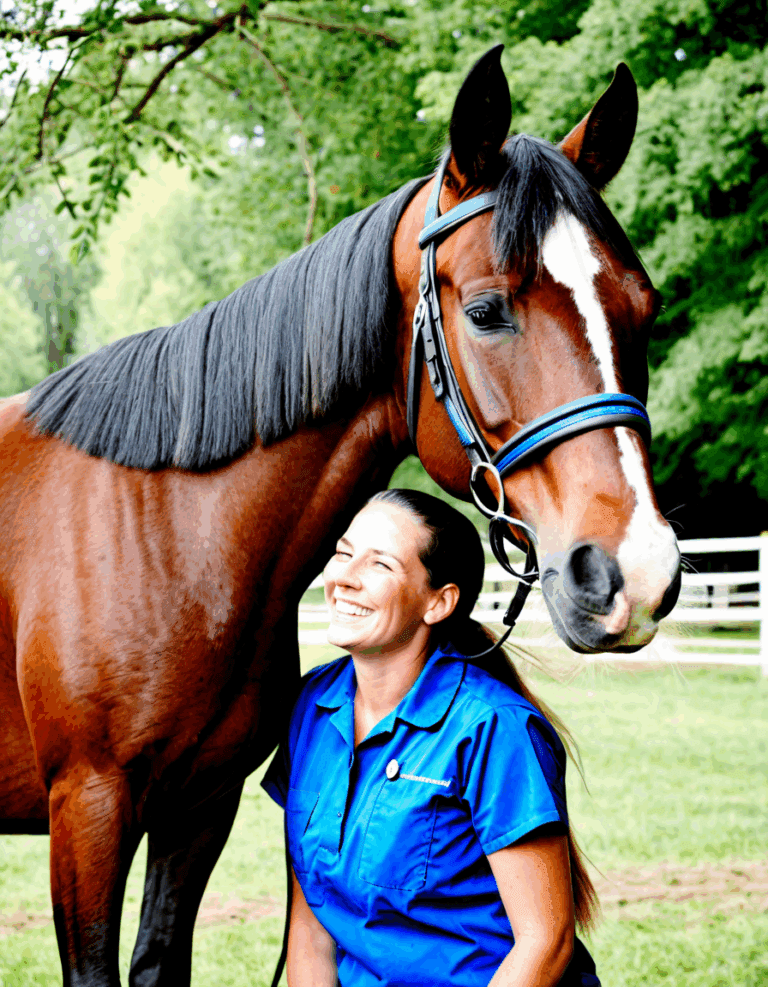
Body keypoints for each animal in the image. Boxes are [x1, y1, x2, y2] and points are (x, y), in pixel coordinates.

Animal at [0, 46, 680, 986]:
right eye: (486, 310)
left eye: (643, 308)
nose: (634, 572)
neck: (169, 533)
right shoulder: (89, 807)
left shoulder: (197, 807)